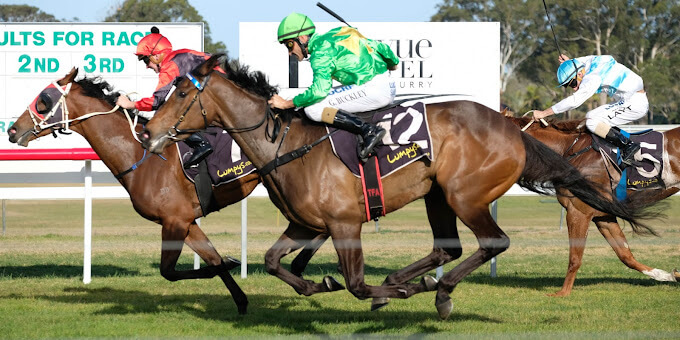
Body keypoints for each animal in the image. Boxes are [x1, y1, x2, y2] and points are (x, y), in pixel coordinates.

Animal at [5, 68, 260, 314]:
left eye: (43, 100)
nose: (12, 130)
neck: (142, 156)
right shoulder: (185, 222)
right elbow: (213, 260)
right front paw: (241, 300)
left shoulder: (175, 221)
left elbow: (169, 271)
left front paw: (233, 264)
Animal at [502, 115, 676, 296]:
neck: (569, 151)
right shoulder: (603, 215)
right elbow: (625, 255)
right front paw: (667, 275)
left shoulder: (578, 211)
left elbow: (575, 257)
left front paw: (563, 293)